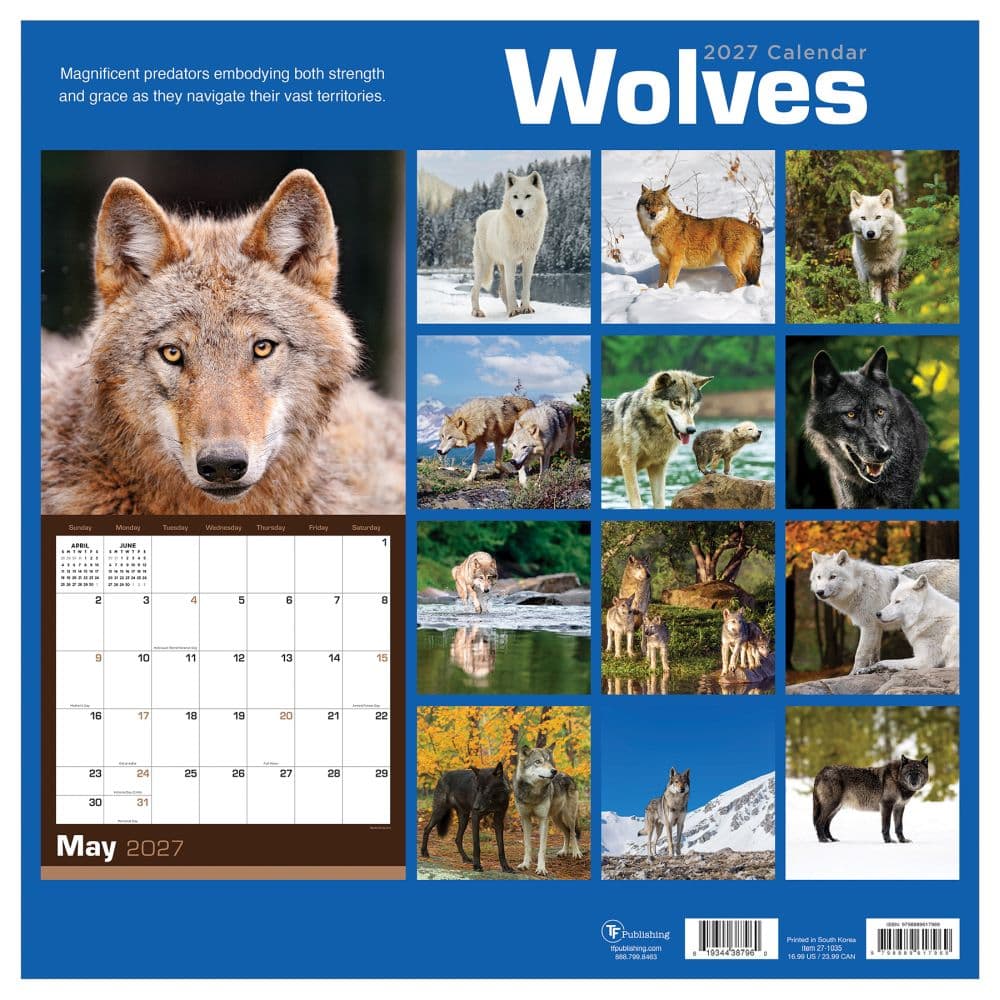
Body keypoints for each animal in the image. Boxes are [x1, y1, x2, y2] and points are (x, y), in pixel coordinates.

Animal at [471, 171, 548, 318]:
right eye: (515, 196)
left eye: (528, 196)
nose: (519, 211)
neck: (523, 229)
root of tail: (481, 216)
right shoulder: (510, 260)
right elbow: (512, 289)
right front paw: (514, 311)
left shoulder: (529, 259)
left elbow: (525, 288)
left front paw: (525, 308)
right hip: (485, 265)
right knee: (474, 289)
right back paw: (477, 311)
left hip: (501, 266)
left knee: (502, 290)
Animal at [514, 744, 583, 876]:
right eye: (538, 762)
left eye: (549, 761)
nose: (554, 771)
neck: (533, 794)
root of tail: (567, 775)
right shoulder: (525, 818)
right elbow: (527, 845)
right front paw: (525, 864)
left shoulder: (543, 819)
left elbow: (542, 848)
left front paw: (541, 868)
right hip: (556, 819)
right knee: (566, 833)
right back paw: (564, 851)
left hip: (568, 816)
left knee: (573, 833)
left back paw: (576, 853)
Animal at [602, 371, 713, 508]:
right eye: (676, 402)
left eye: (692, 405)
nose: (691, 430)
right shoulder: (628, 462)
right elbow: (637, 502)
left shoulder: (658, 466)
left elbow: (660, 502)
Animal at [810, 550, 959, 673]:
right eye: (819, 577)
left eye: (832, 577)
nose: (819, 592)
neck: (860, 585)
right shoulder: (877, 627)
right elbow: (874, 656)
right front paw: (868, 671)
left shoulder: (869, 626)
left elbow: (860, 654)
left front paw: (853, 674)